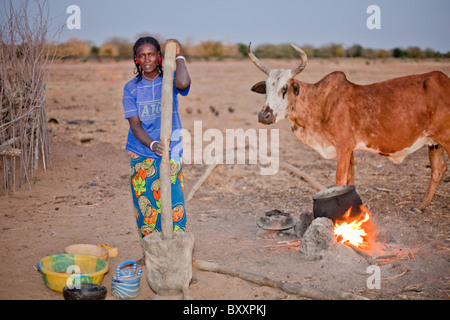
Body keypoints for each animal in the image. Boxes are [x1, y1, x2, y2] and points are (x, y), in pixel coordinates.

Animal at [250, 42, 450, 212]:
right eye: (266, 88)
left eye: (285, 88)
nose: (264, 116)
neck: (320, 102)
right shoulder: (350, 149)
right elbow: (350, 179)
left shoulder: (343, 147)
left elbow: (340, 180)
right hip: (434, 142)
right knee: (438, 170)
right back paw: (420, 207)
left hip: (445, 138)